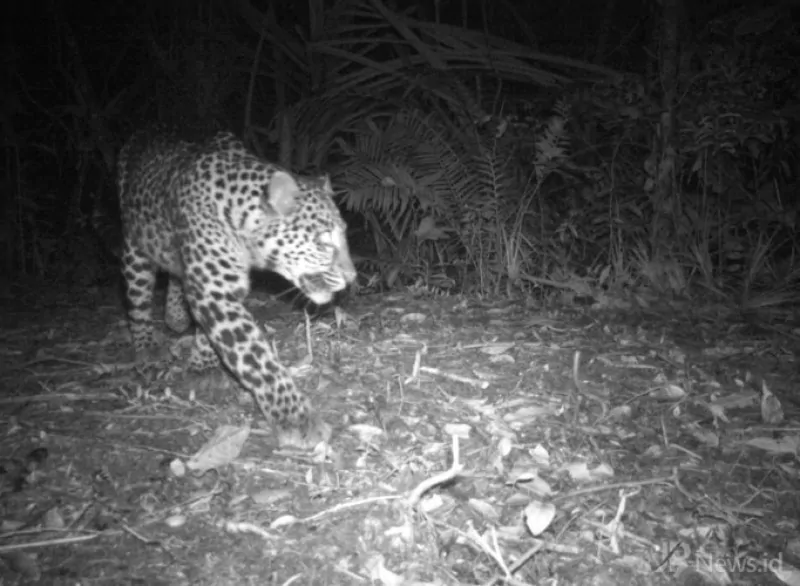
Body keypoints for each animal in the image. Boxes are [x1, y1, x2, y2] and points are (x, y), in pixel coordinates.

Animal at [116, 128, 356, 438]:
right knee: (138, 300)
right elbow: (254, 355)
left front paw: (203, 365)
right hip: (134, 247)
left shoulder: (222, 286)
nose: (352, 277)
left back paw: (176, 317)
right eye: (324, 241)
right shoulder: (213, 290)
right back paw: (146, 351)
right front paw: (295, 418)